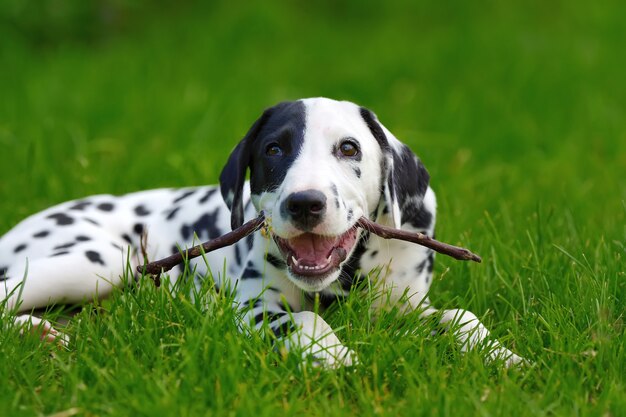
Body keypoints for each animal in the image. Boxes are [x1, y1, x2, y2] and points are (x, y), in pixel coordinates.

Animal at [0, 98, 520, 368]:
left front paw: (503, 356)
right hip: (103, 262)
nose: (304, 203)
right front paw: (337, 357)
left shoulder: (405, 307)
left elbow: (459, 316)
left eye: (349, 148)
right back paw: (34, 334)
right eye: (273, 149)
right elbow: (304, 320)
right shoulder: (254, 307)